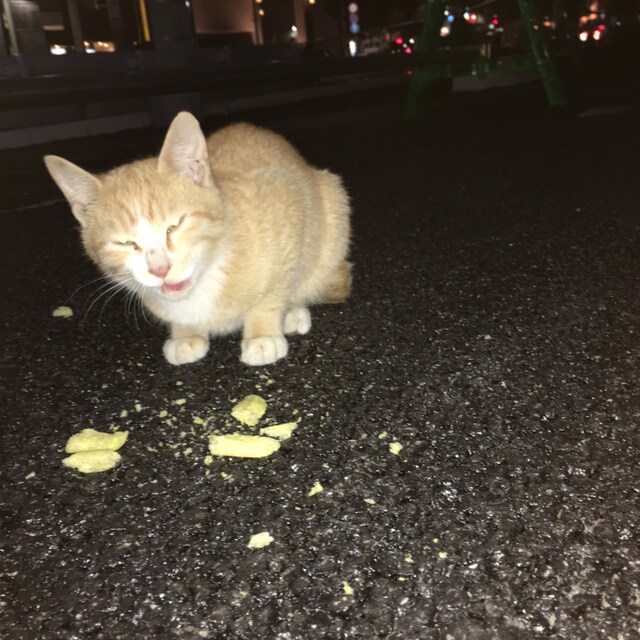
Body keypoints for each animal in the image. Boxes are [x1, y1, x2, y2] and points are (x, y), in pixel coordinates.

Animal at [44, 112, 352, 366]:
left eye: (175, 225)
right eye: (124, 243)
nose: (160, 269)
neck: (211, 269)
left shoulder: (289, 210)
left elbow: (275, 289)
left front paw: (262, 332)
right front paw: (186, 334)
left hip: (332, 201)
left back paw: (294, 310)